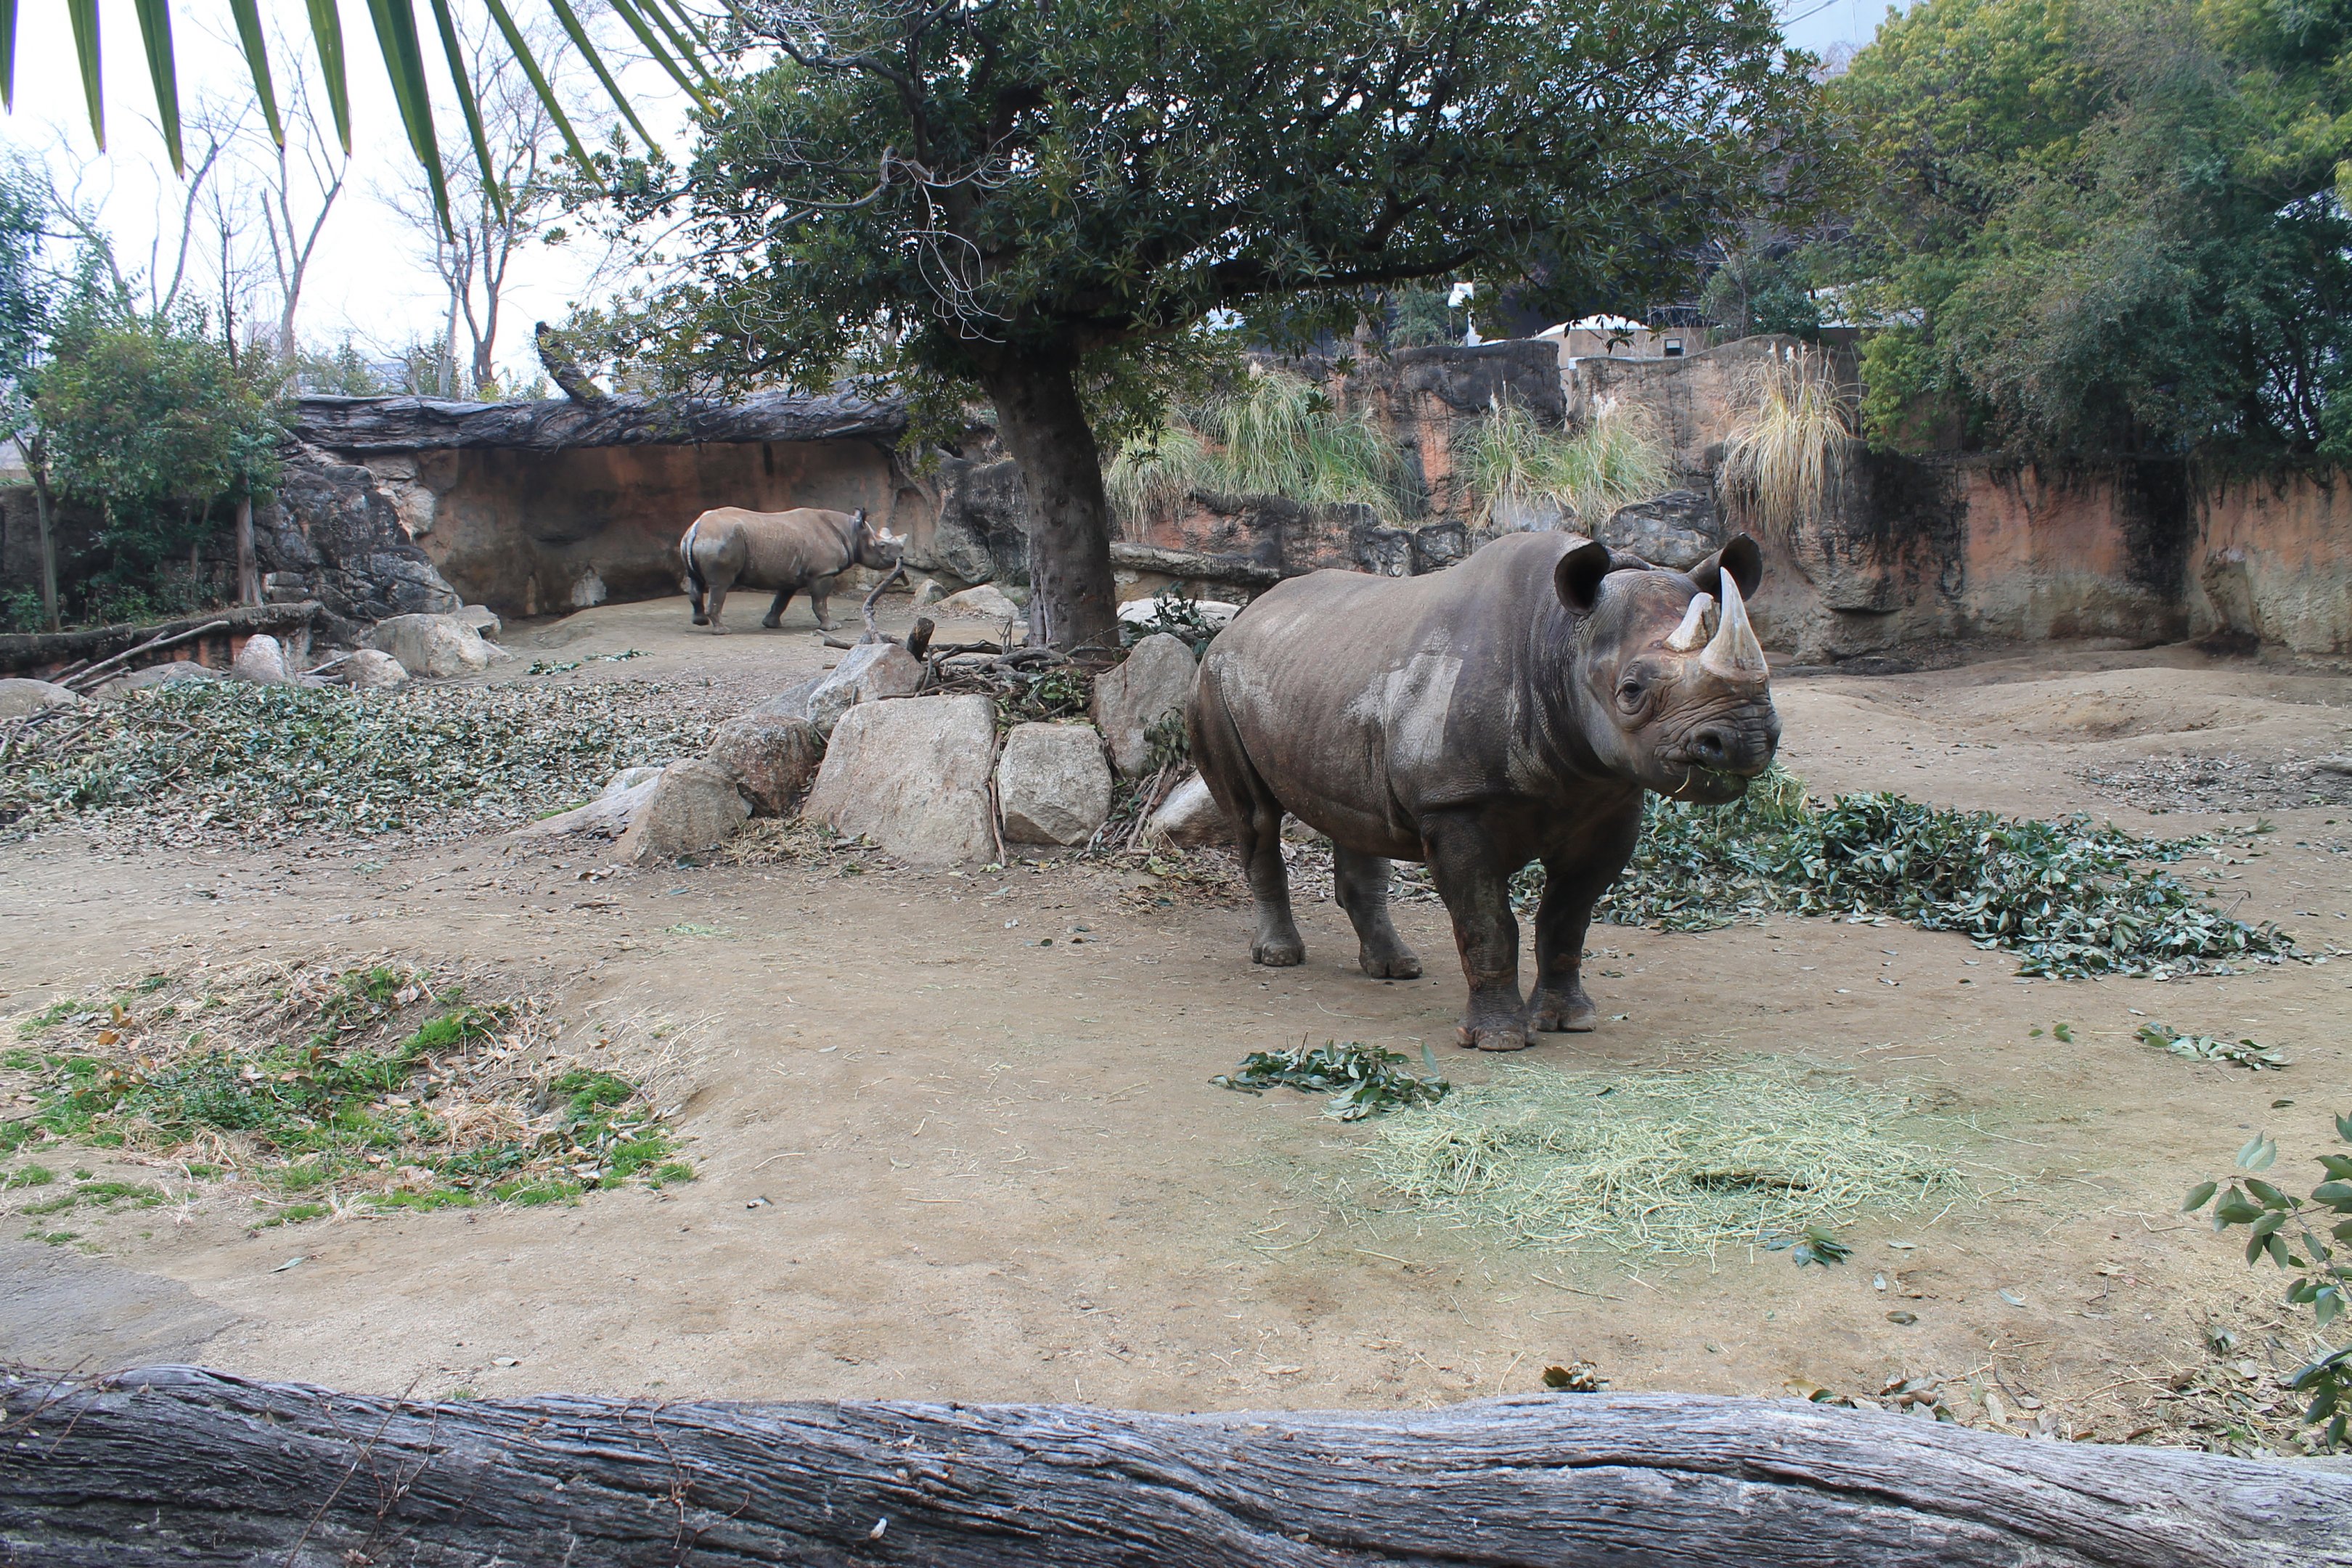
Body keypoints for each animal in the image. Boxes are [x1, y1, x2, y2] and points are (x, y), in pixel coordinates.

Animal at [680, 506, 903, 633]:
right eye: (882, 546)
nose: (900, 556)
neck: (852, 532)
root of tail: (696, 527)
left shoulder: (789, 575)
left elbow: (782, 600)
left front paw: (771, 624)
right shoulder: (823, 573)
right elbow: (820, 602)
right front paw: (832, 627)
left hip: (701, 540)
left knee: (695, 581)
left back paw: (699, 622)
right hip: (721, 539)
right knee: (720, 585)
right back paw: (723, 630)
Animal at [1188, 531, 1780, 1051]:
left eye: (1768, 677)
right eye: (1631, 691)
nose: (1744, 739)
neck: (1560, 639)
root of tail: (1243, 618)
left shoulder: (1611, 799)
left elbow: (1567, 918)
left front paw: (1569, 1022)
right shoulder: (1456, 805)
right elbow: (1487, 921)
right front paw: (1499, 1040)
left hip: (1331, 673)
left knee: (1358, 818)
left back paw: (1395, 969)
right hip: (1215, 680)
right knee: (1255, 818)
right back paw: (1279, 957)